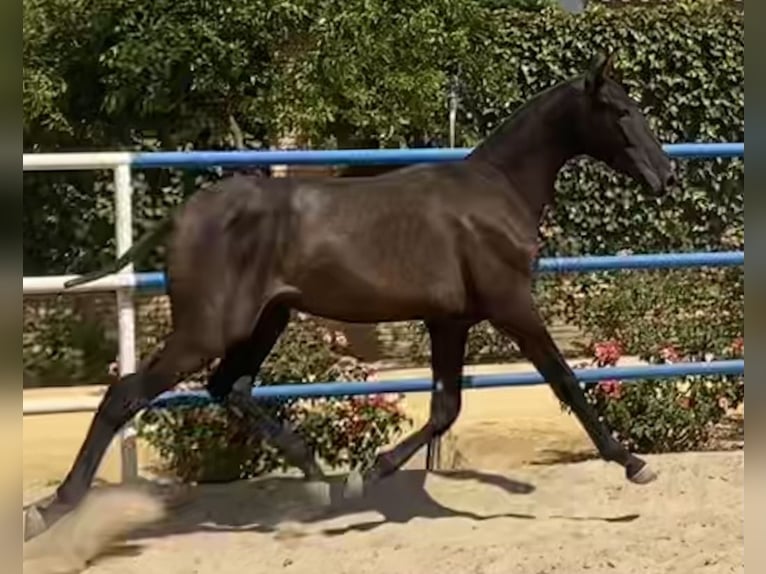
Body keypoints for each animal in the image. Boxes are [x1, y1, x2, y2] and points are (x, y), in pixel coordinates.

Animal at [28, 51, 680, 536]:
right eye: (620, 110)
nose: (666, 176)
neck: (496, 194)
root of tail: (184, 214)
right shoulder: (511, 306)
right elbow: (565, 381)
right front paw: (634, 464)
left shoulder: (450, 321)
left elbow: (446, 407)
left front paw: (372, 471)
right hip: (208, 328)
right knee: (127, 395)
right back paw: (52, 508)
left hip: (266, 320)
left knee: (229, 387)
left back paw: (319, 477)